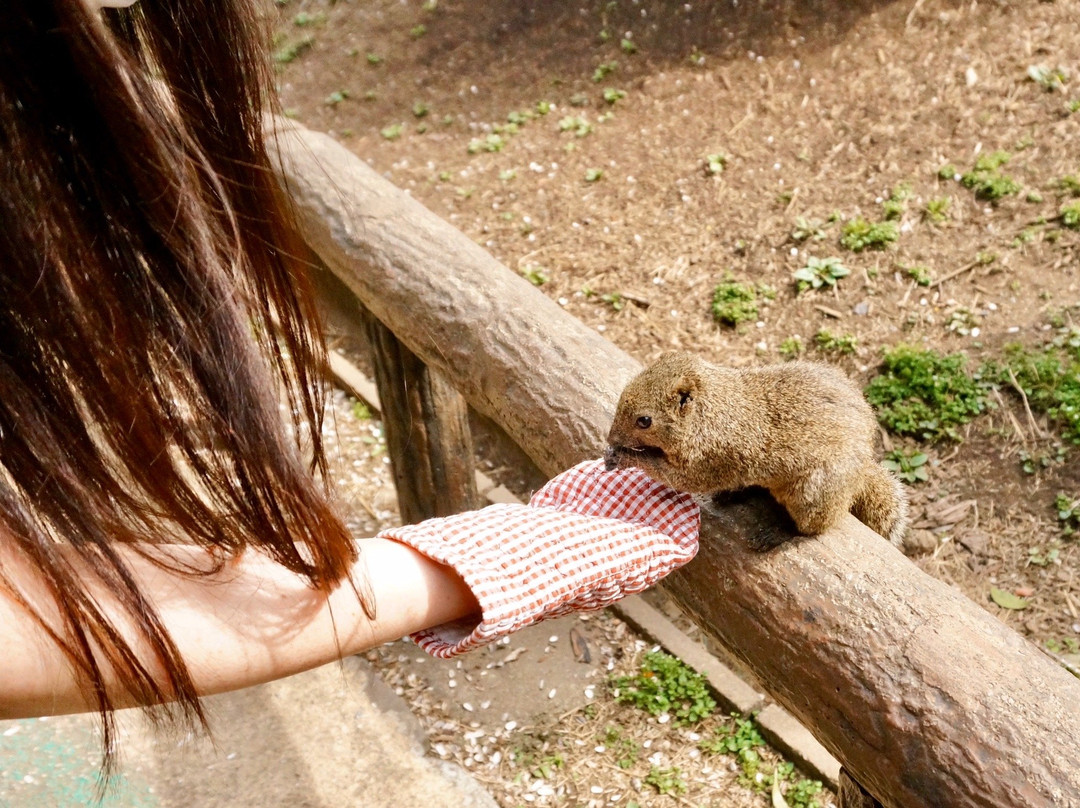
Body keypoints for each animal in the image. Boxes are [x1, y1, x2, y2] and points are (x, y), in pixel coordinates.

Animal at [604, 351, 908, 548]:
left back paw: (778, 533)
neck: (713, 411)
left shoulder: (710, 460)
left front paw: (625, 456)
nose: (610, 437)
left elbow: (677, 477)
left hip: (813, 494)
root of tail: (863, 469)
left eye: (644, 420)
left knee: (812, 528)